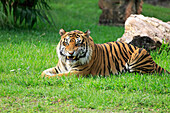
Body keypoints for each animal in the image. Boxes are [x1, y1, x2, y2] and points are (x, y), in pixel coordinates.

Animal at [41, 28, 170, 77]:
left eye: (78, 43)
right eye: (67, 43)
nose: (71, 53)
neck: (68, 63)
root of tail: (153, 60)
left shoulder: (77, 73)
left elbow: (57, 76)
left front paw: (48, 77)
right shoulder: (58, 68)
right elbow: (43, 72)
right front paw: (44, 75)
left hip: (138, 54)